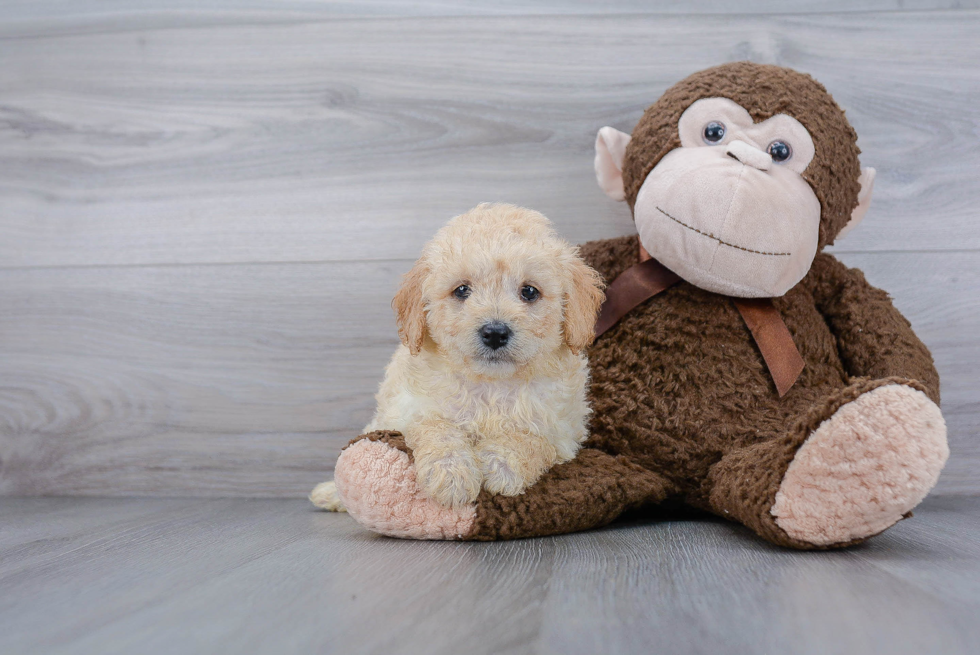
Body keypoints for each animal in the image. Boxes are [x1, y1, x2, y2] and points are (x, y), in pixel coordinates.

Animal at [314, 202, 604, 510]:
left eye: (529, 291)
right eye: (462, 290)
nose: (495, 332)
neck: (490, 386)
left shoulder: (562, 433)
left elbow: (531, 440)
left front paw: (500, 464)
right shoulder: (407, 411)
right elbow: (435, 426)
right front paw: (452, 475)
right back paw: (330, 493)